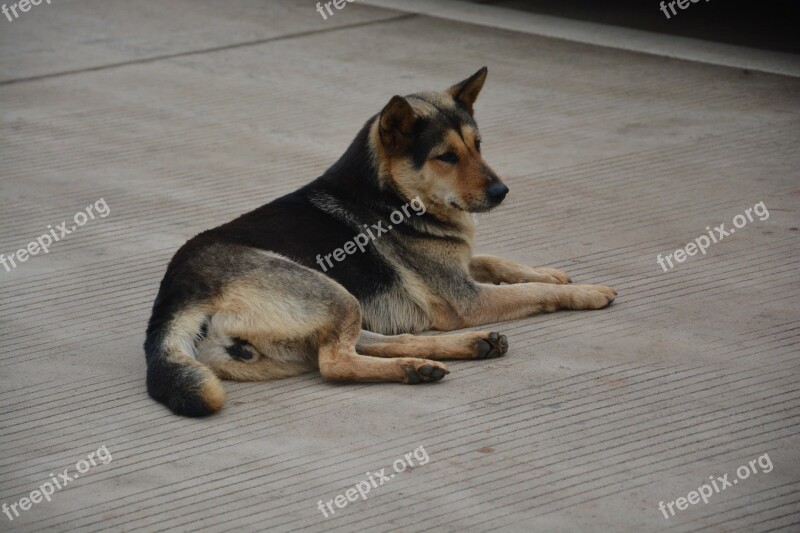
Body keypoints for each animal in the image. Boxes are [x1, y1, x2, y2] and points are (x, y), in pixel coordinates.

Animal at [144, 66, 620, 416]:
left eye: (478, 146)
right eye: (446, 157)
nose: (502, 192)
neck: (389, 195)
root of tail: (175, 296)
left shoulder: (459, 268)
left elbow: (494, 259)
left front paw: (550, 272)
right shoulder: (466, 298)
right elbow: (530, 292)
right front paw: (585, 291)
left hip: (337, 304)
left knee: (377, 341)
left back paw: (454, 351)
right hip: (331, 292)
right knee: (335, 364)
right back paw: (417, 366)